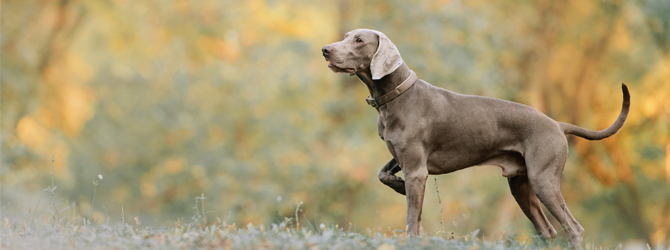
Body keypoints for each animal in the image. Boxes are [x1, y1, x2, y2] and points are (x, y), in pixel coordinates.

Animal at [322, 28, 632, 247]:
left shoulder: (417, 170)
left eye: (359, 40)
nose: (325, 50)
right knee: (548, 230)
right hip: (521, 184)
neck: (396, 96)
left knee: (574, 228)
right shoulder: (401, 157)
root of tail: (558, 124)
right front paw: (397, 186)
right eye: (346, 36)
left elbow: (412, 218)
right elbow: (382, 174)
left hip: (543, 179)